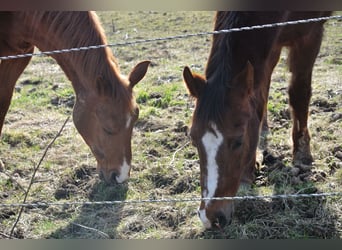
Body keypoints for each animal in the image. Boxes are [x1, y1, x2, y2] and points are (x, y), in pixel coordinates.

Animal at [183, 12, 332, 230]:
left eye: (239, 141)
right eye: (193, 139)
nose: (210, 218)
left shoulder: (310, 35)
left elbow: (299, 92)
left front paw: (302, 153)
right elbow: (260, 95)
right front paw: (248, 173)